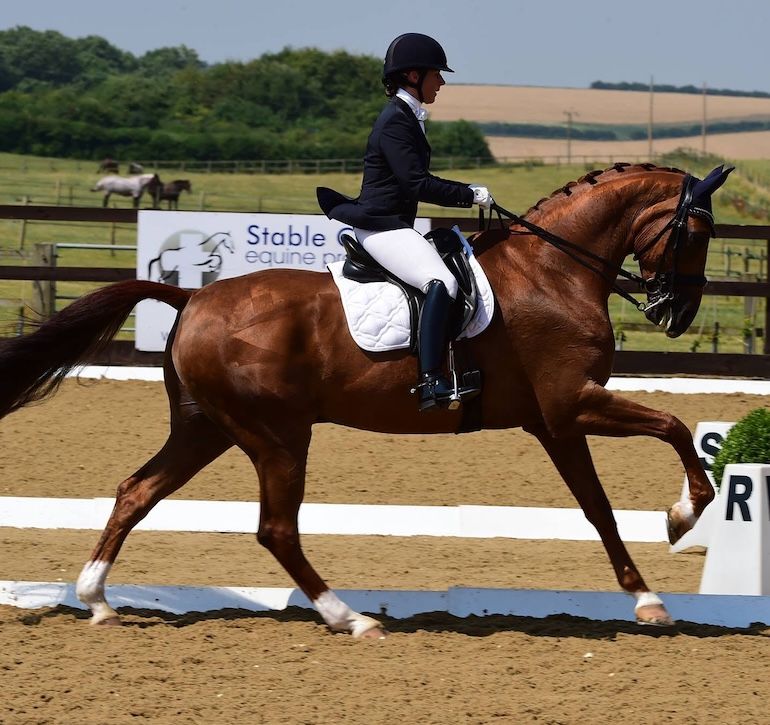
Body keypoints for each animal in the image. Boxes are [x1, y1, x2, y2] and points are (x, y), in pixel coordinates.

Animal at [0, 162, 732, 639]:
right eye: (696, 233)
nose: (678, 314)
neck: (553, 271)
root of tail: (193, 296)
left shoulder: (555, 422)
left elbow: (599, 509)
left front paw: (647, 599)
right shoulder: (572, 403)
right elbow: (674, 424)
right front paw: (683, 516)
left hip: (207, 428)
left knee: (137, 491)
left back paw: (97, 599)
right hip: (276, 436)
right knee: (275, 528)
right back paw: (349, 617)